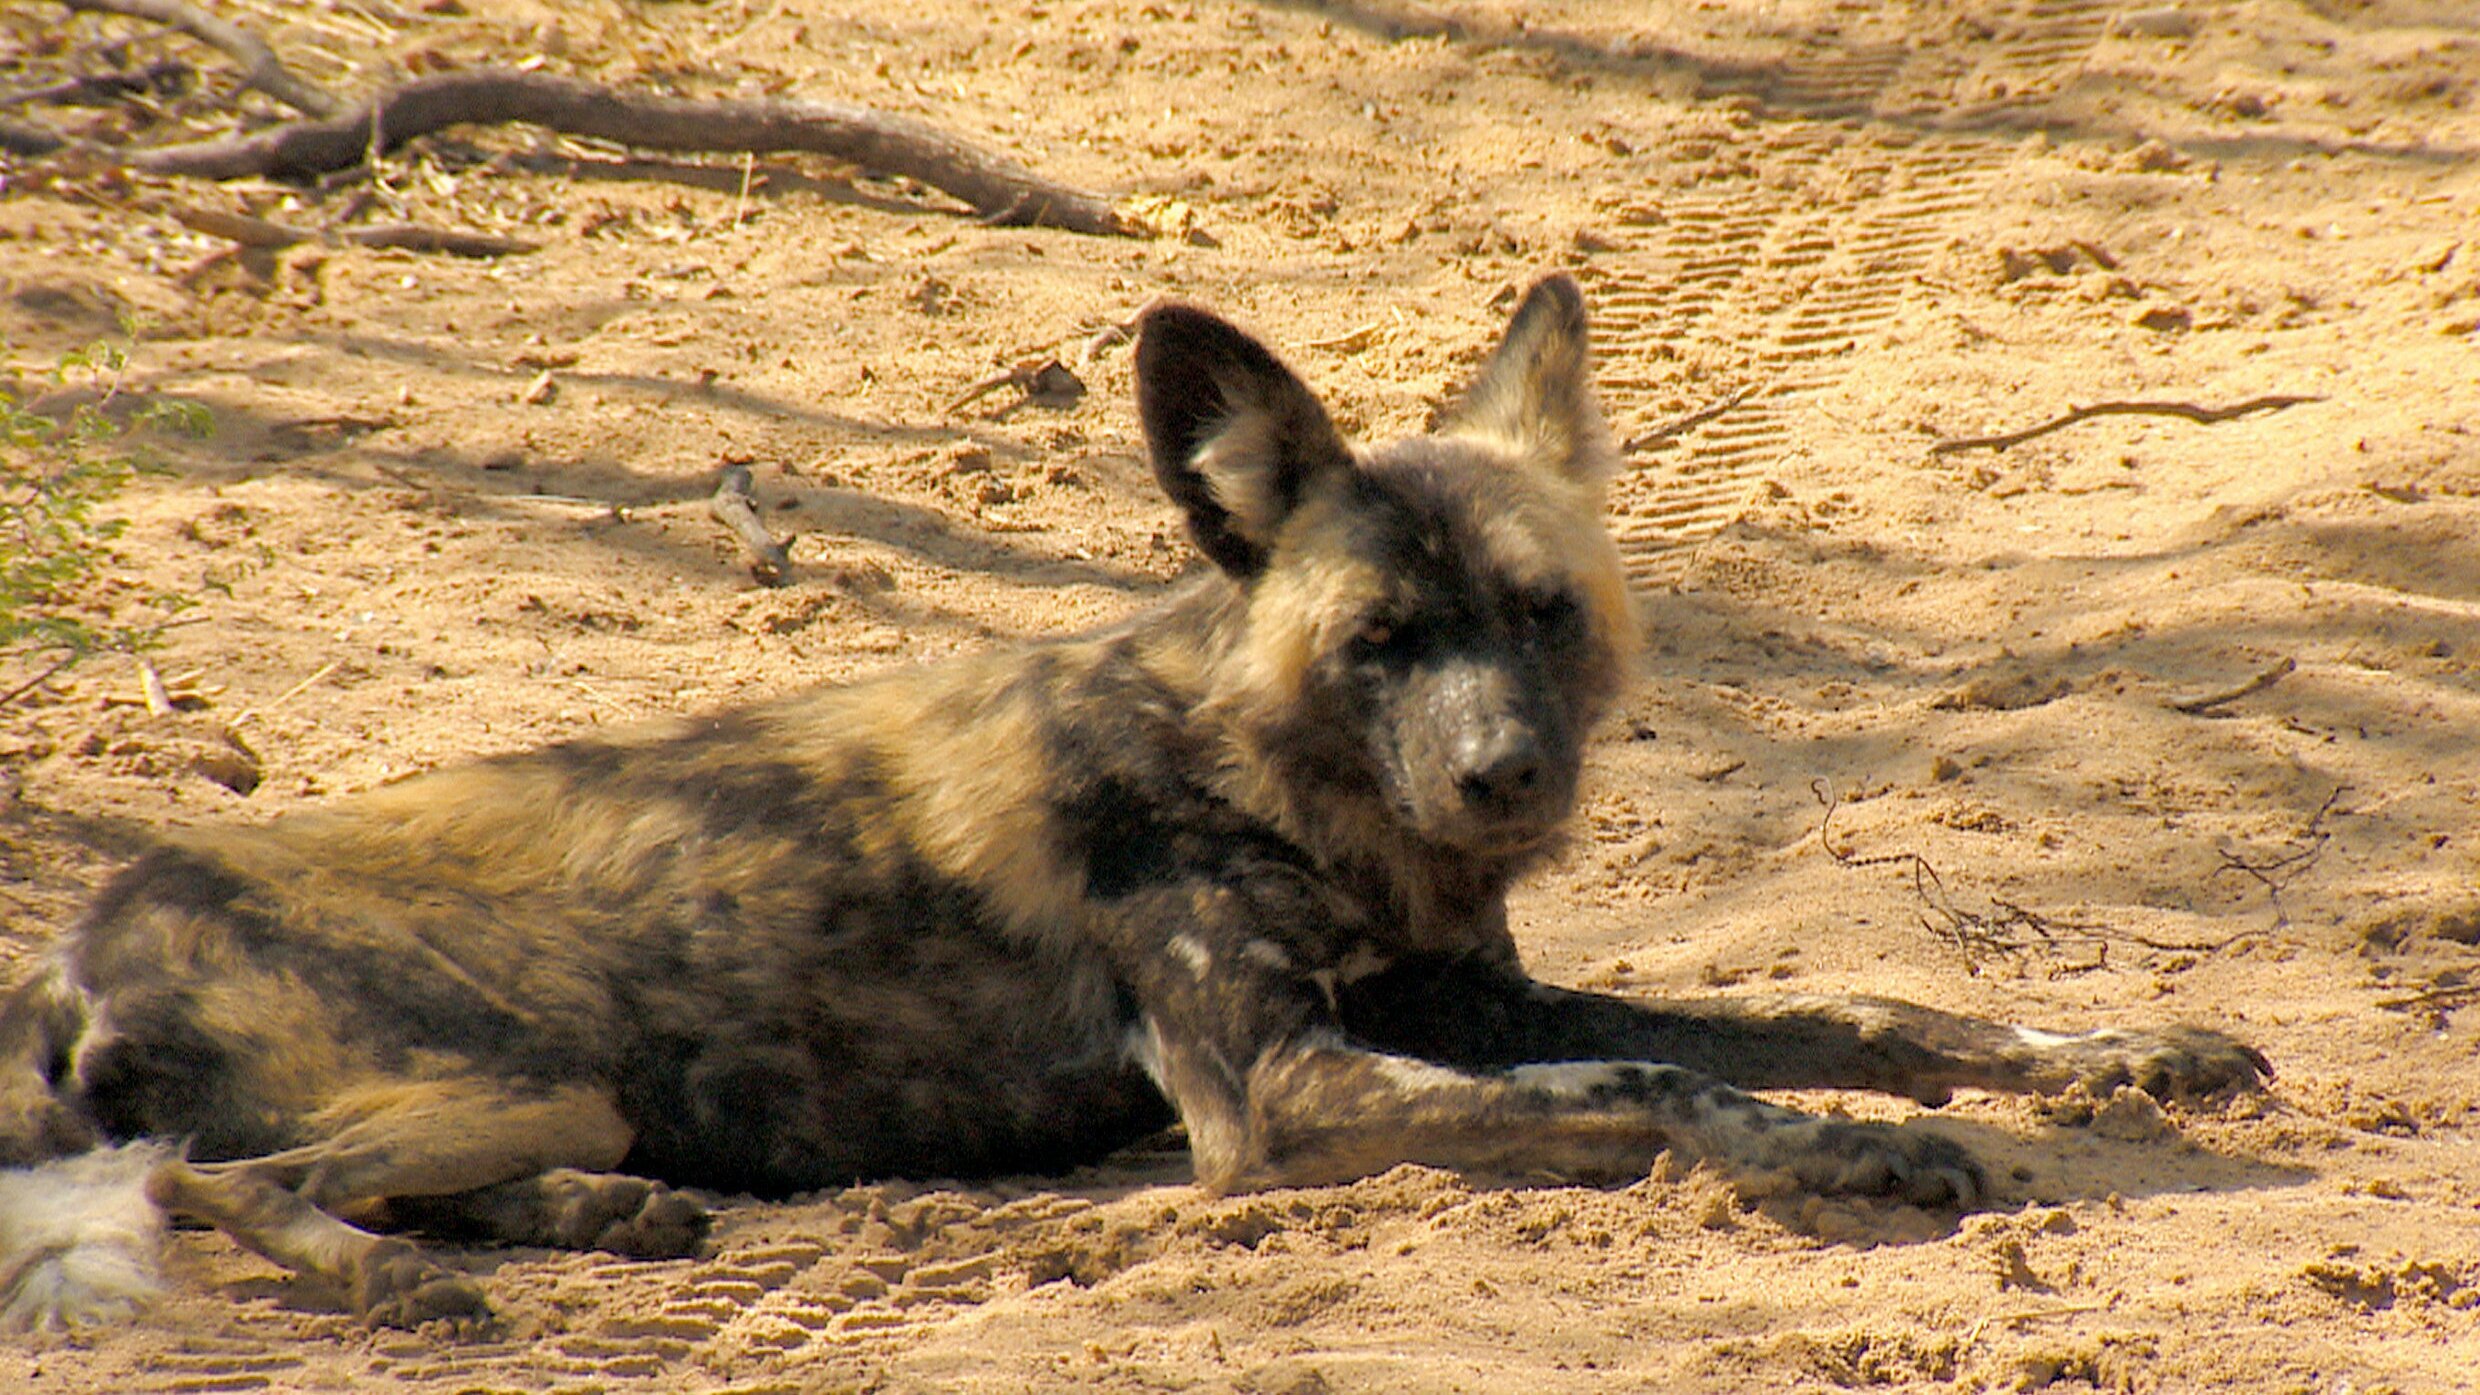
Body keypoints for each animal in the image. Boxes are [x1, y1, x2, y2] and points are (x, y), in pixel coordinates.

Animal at [0, 271, 2271, 1320]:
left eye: (1539, 615)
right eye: (1383, 639)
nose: (1503, 774)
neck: (1284, 783)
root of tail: (89, 926)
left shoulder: (1482, 1004)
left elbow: (1863, 1008)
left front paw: (2112, 1056)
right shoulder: (1293, 1095)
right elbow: (1671, 1087)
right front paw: (1852, 1155)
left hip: (567, 1091)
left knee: (322, 1172)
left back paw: (593, 1219)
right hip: (503, 1069)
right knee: (217, 1186)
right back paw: (418, 1279)